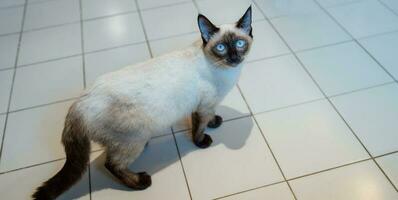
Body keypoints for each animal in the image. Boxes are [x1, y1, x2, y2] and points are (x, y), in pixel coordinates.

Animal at [32, 6, 253, 200]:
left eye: (240, 44)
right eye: (221, 48)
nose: (234, 58)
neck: (225, 70)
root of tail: (78, 104)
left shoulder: (203, 105)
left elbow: (207, 118)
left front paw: (215, 122)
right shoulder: (204, 105)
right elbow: (198, 128)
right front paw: (202, 142)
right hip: (135, 138)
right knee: (112, 164)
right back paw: (140, 182)